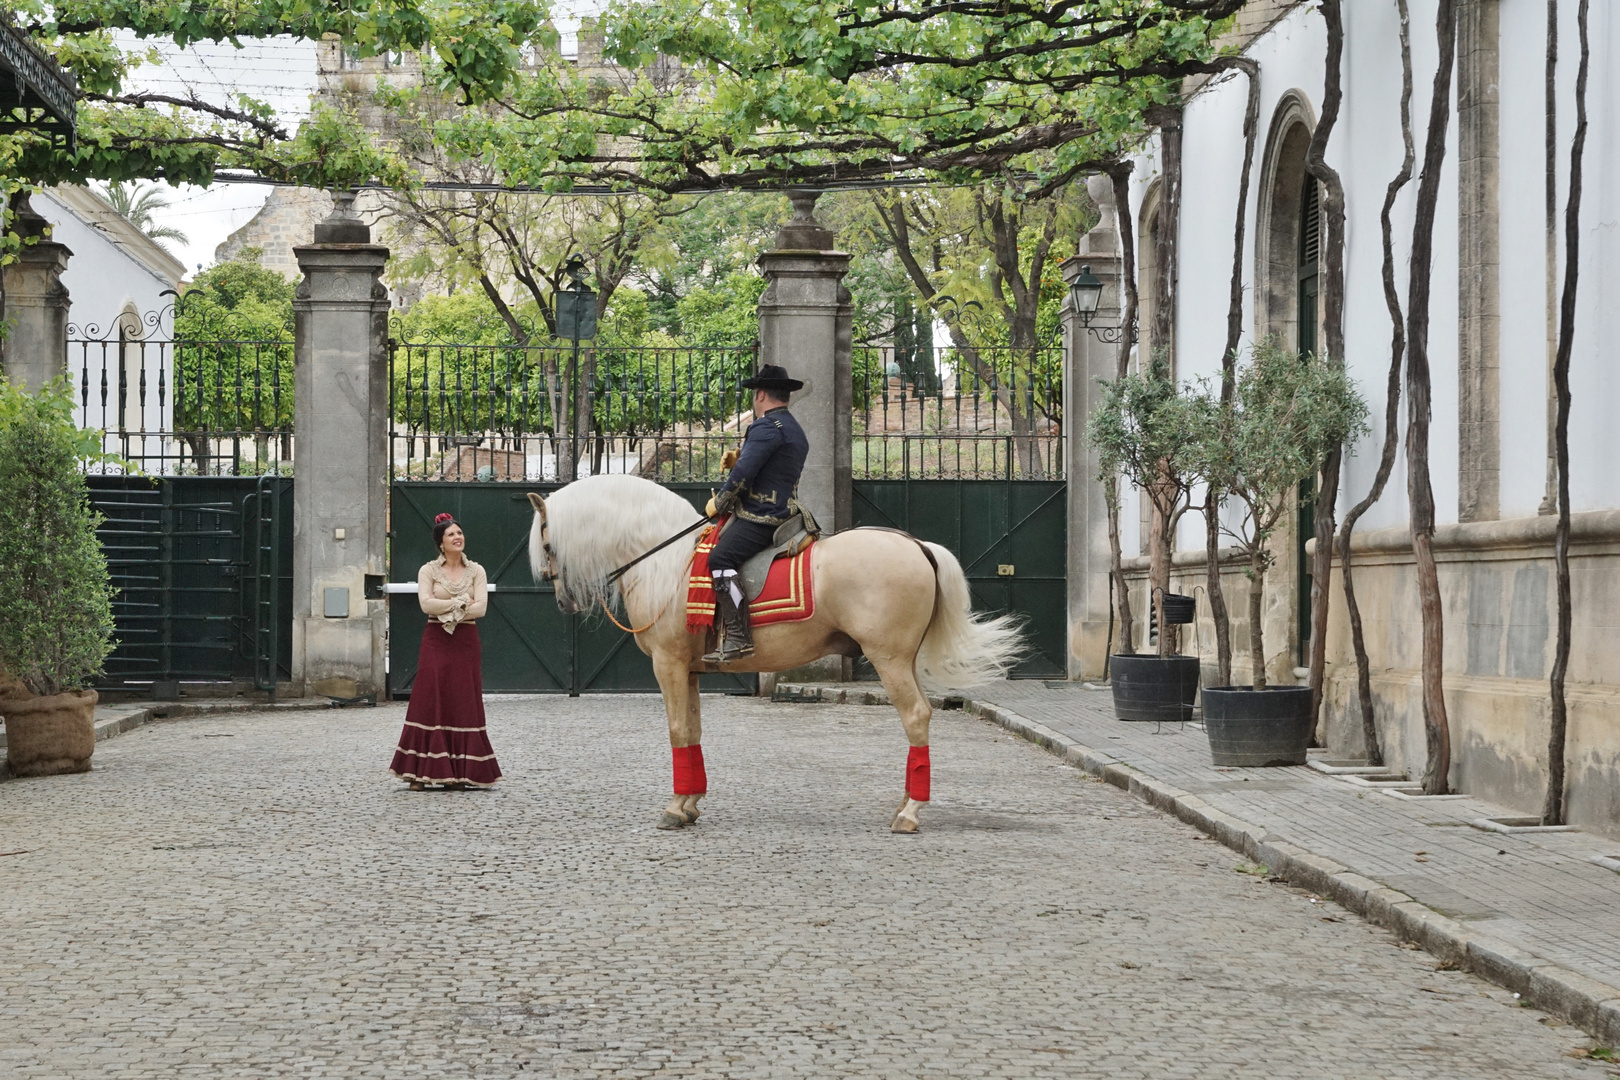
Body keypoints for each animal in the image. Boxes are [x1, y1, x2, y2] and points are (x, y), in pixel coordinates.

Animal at [524, 476, 1017, 835]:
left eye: (547, 544)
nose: (562, 601)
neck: (667, 562)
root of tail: (915, 544)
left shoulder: (668, 664)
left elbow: (677, 730)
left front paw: (675, 807)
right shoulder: (690, 670)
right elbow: (693, 730)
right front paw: (692, 803)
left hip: (889, 660)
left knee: (915, 716)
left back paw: (910, 813)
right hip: (903, 660)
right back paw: (904, 803)